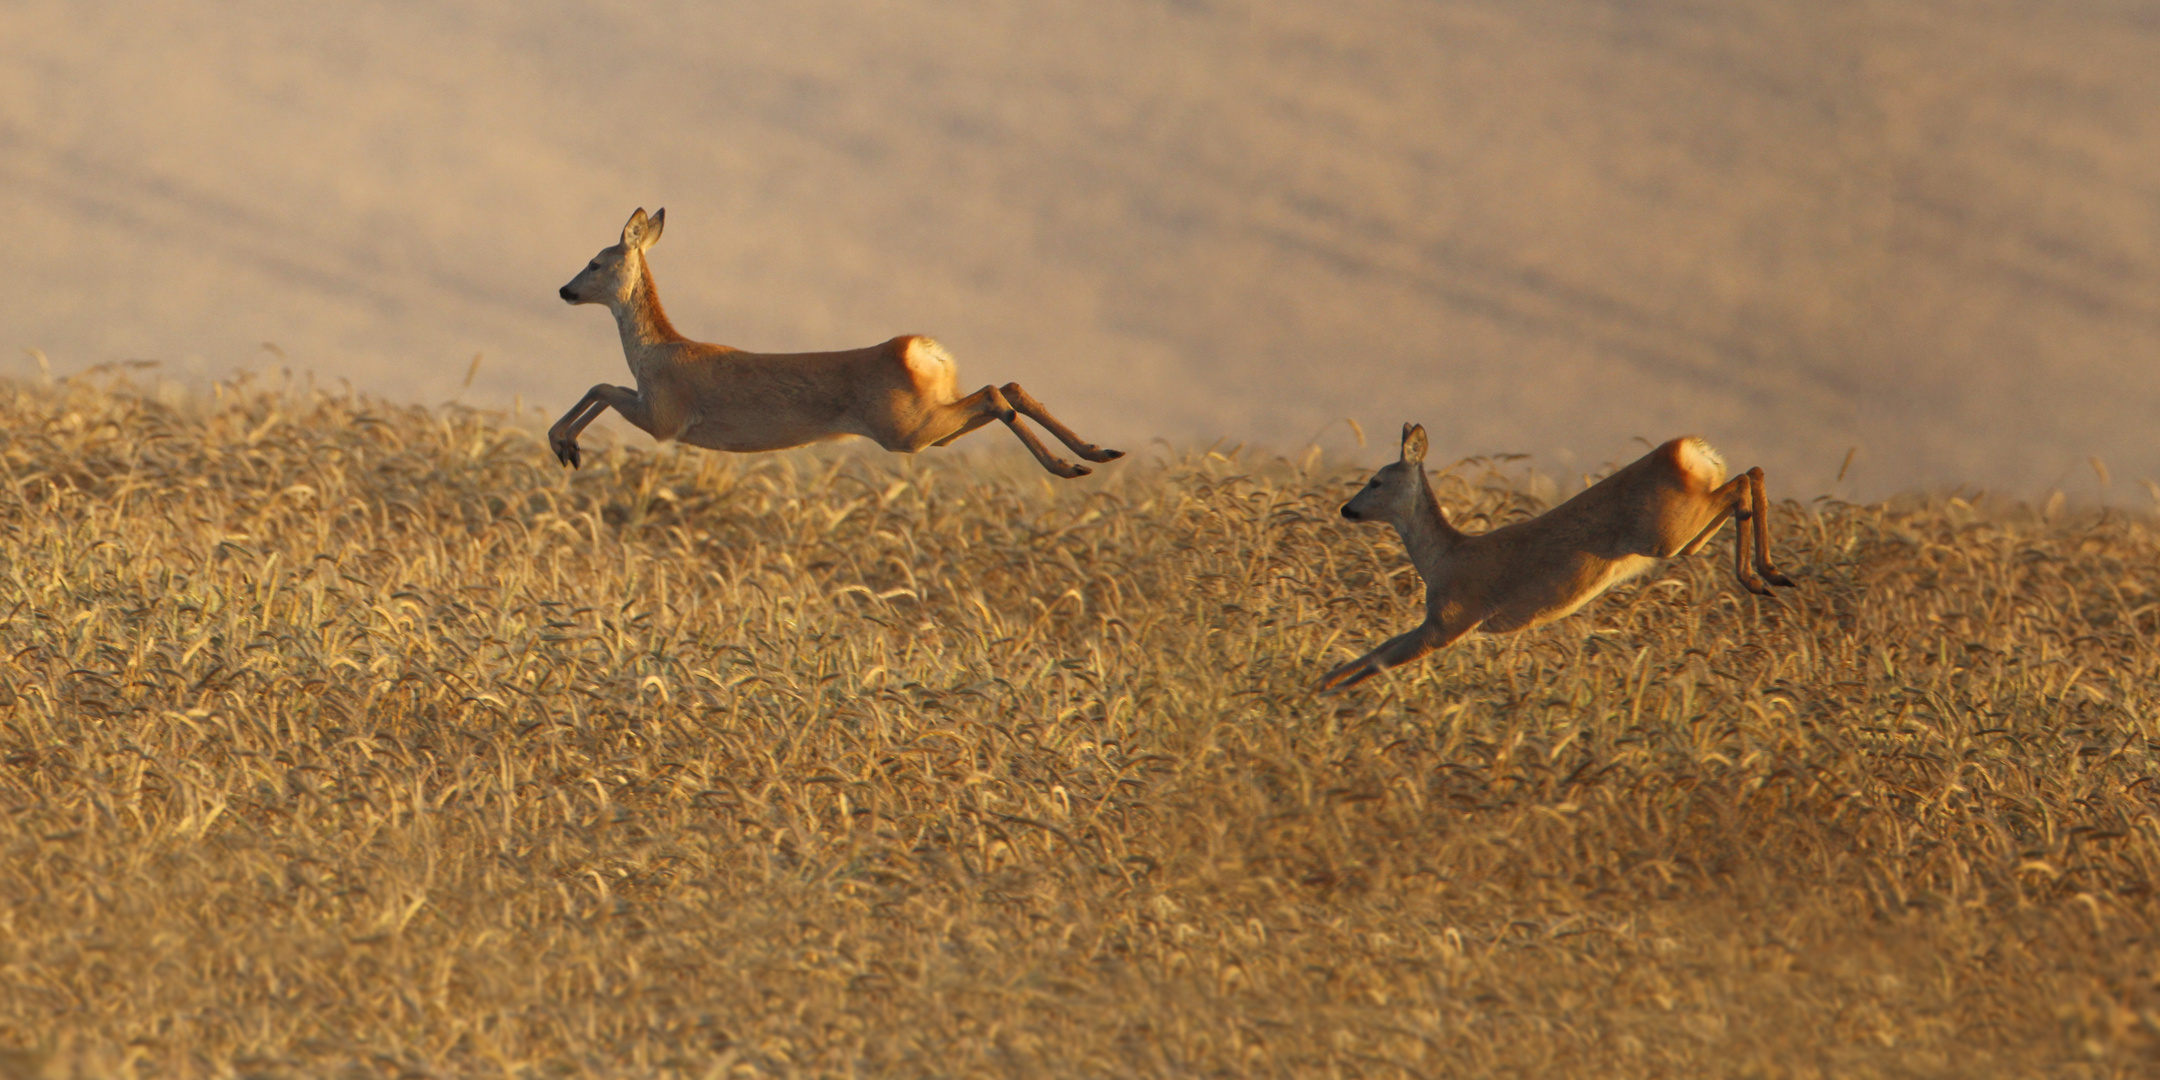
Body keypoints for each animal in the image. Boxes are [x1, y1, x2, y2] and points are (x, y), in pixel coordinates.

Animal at [552, 208, 1131, 479]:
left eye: (595, 262)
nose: (565, 290)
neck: (657, 352)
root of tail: (922, 349)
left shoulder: (665, 417)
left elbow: (600, 385)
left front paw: (565, 445)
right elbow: (600, 386)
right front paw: (567, 446)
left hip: (906, 428)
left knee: (995, 394)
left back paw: (1069, 464)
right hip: (930, 427)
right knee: (1006, 387)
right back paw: (1095, 453)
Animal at [1313, 425, 1805, 695]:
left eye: (1375, 481)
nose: (1346, 509)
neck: (1444, 559)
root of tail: (1689, 450)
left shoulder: (1451, 620)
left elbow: (1378, 662)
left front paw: (1327, 698)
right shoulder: (1437, 621)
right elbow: (1375, 650)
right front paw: (1319, 681)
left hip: (1667, 533)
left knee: (1742, 482)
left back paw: (1762, 576)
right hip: (1685, 538)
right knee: (1749, 475)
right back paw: (1770, 575)